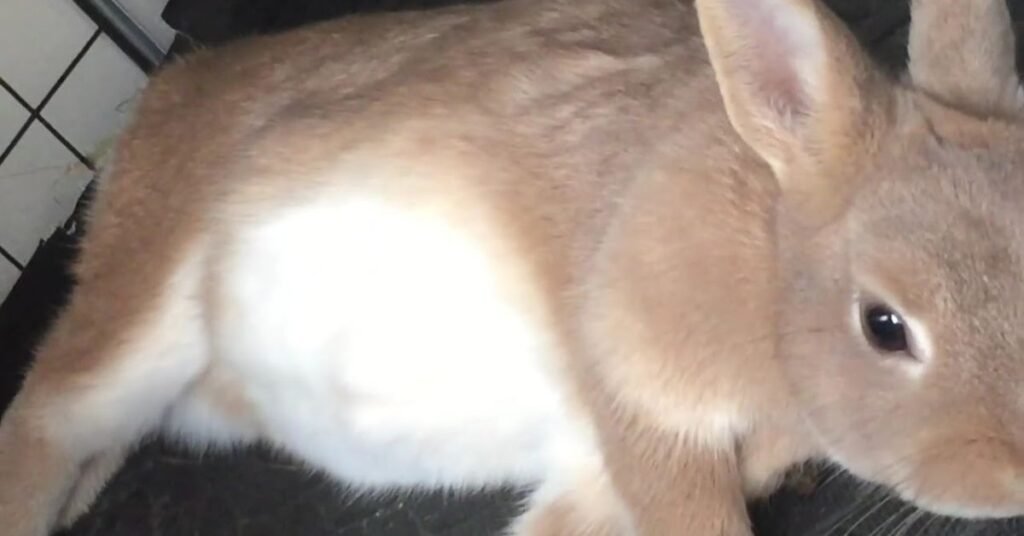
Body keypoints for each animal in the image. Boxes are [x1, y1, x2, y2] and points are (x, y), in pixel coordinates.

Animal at [2, 0, 1024, 533]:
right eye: (884, 326)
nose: (1013, 475)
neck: (768, 269)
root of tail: (160, 94)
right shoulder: (640, 406)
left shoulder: (600, 479)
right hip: (147, 306)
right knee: (40, 421)